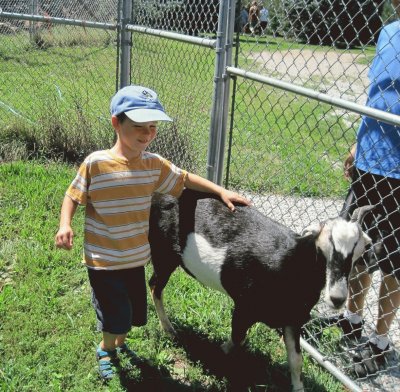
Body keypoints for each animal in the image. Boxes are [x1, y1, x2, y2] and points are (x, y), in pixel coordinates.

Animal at [148, 188, 374, 390]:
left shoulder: (293, 318)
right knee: (155, 286)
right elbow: (237, 338)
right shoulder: (244, 305)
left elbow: (296, 359)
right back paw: (169, 330)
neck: (289, 261)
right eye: (327, 244)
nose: (337, 298)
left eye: (359, 251)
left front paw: (298, 387)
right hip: (163, 254)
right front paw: (219, 357)